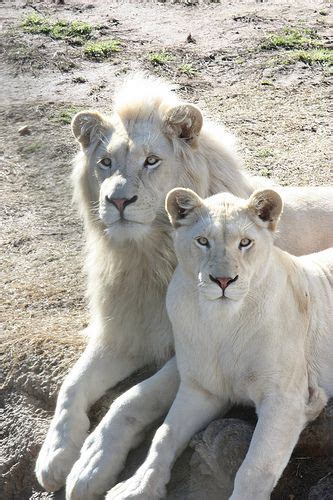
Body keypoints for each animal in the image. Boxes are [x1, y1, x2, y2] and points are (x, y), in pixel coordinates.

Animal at [107, 188, 330, 500]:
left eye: (245, 243)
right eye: (203, 241)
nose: (223, 281)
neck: (221, 321)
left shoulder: (284, 397)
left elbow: (255, 468)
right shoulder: (203, 390)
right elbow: (164, 435)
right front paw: (138, 486)